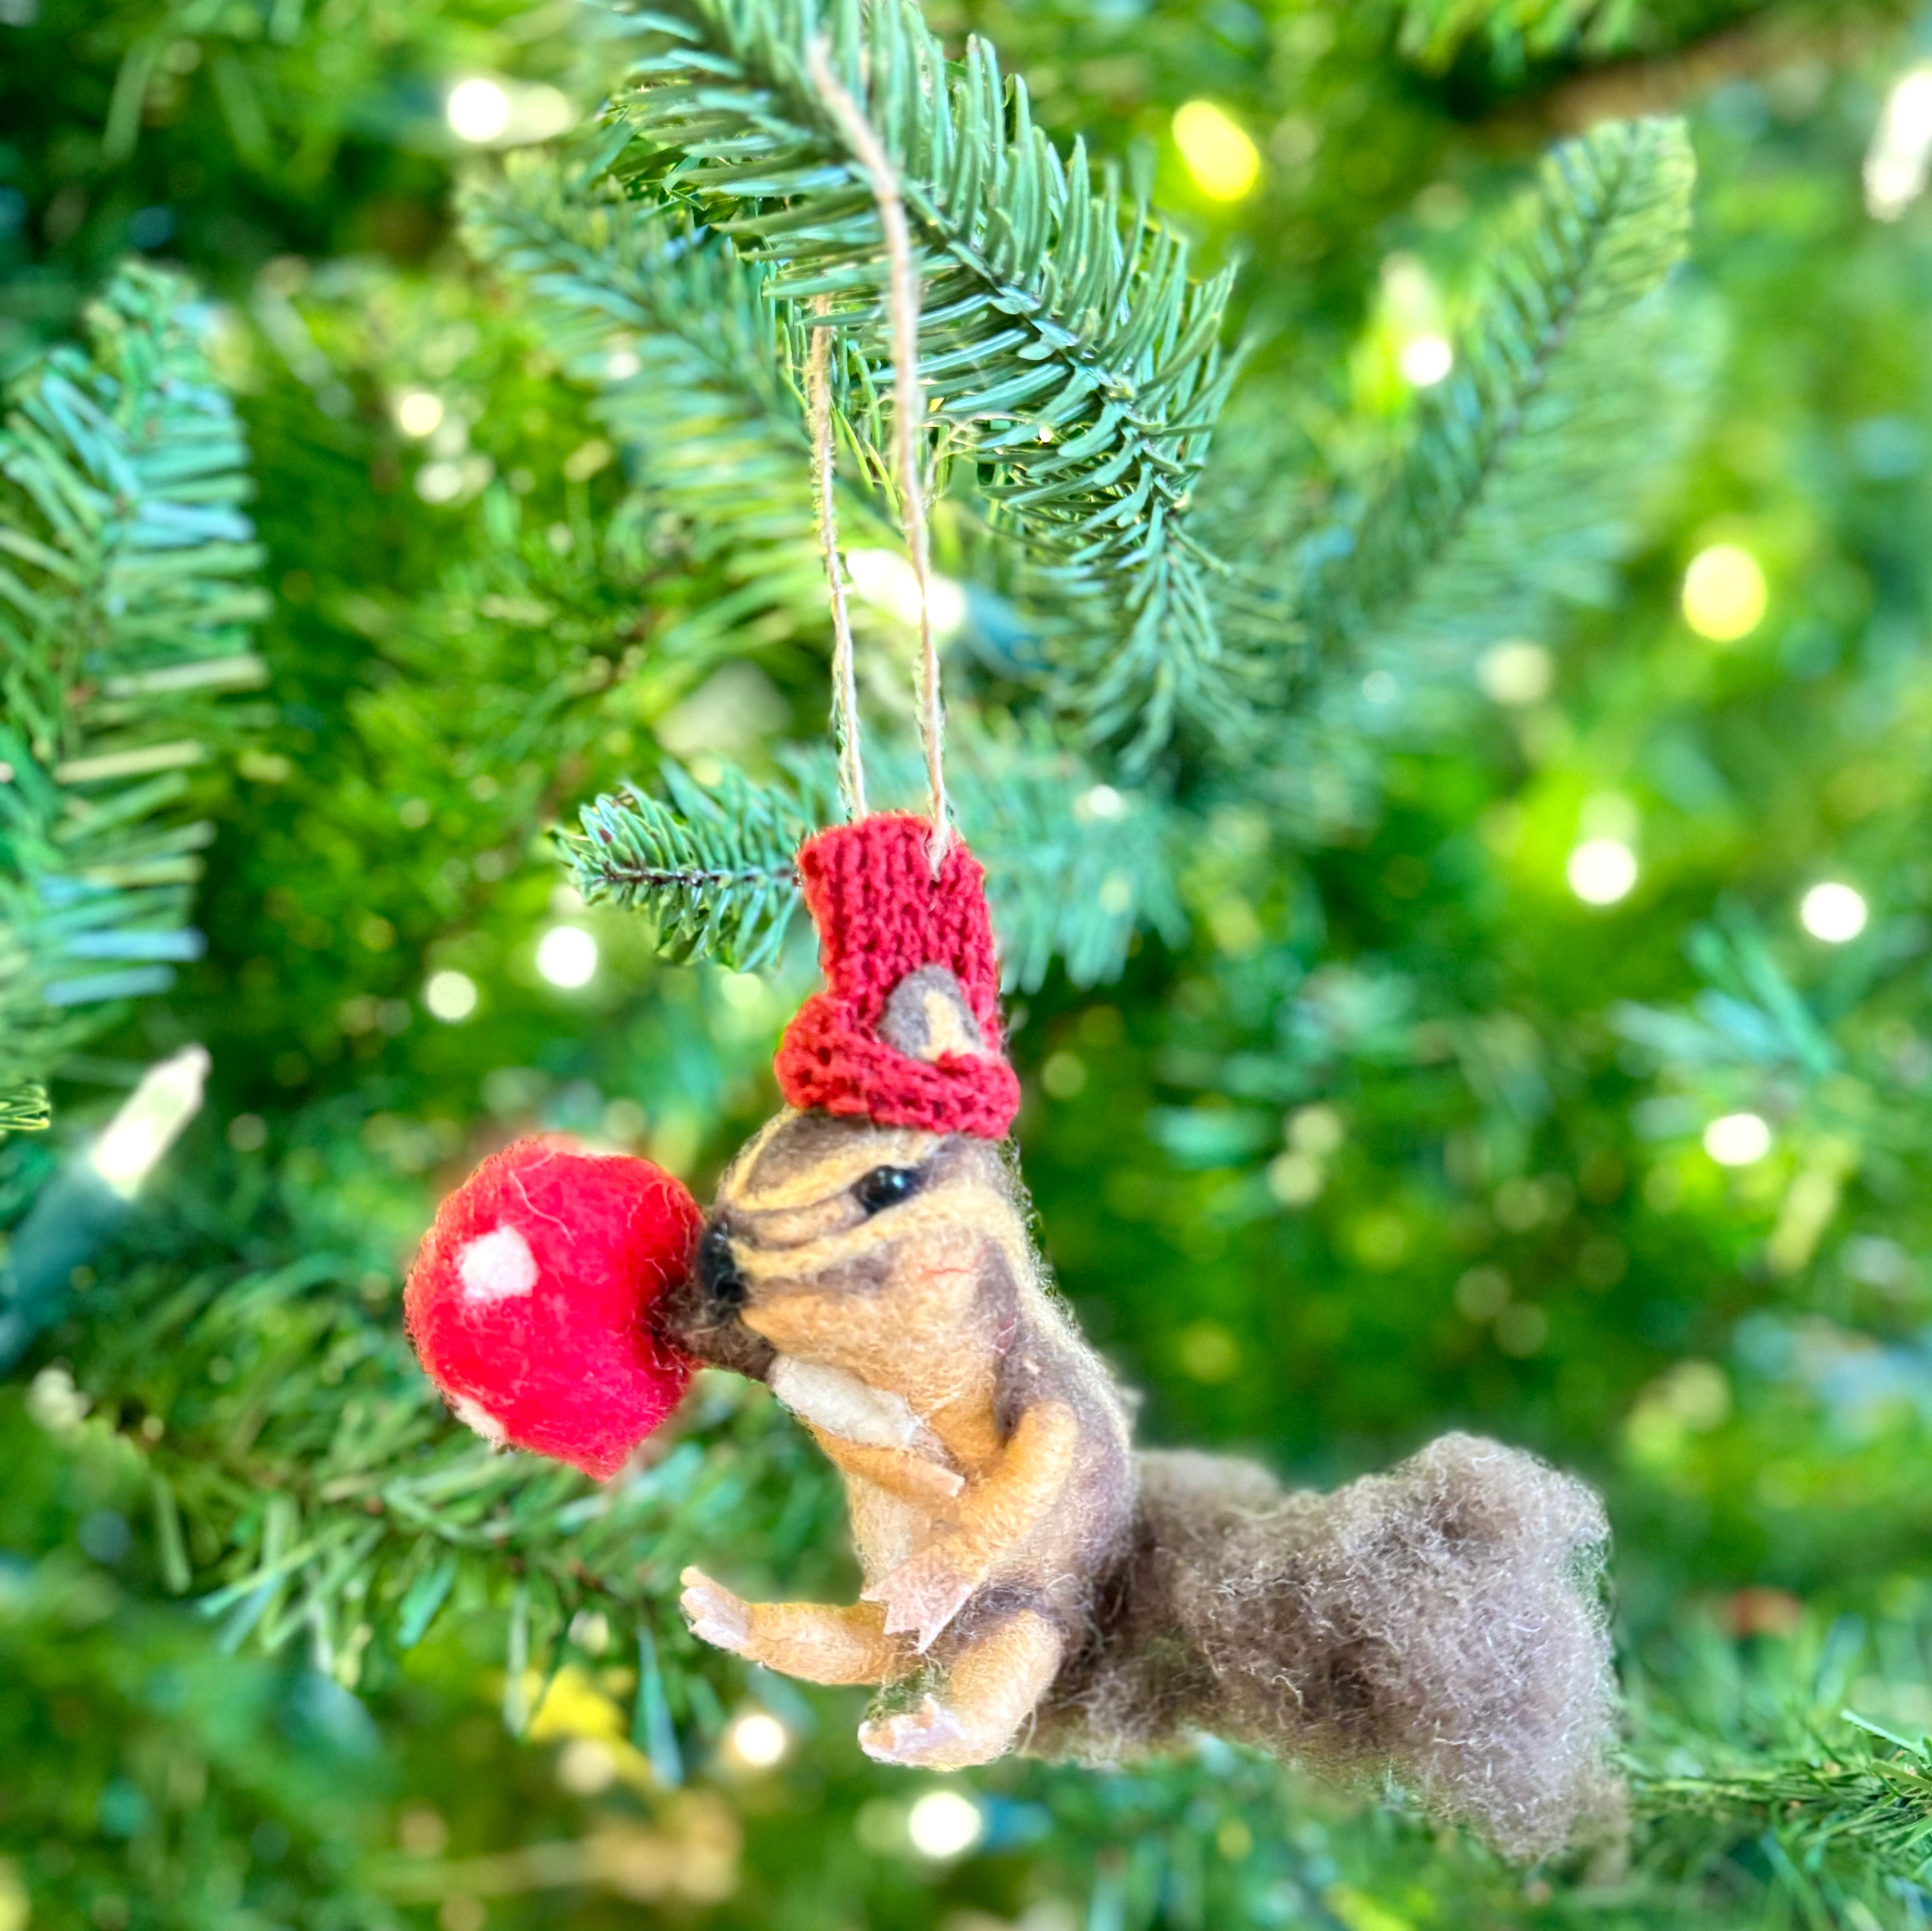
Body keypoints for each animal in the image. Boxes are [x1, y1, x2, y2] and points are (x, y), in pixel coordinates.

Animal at [407, 812, 1630, 1855]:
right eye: (751, 1156)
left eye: (887, 1182)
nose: (715, 1267)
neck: (885, 1372)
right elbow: (822, 1411)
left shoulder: (1034, 1392)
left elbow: (1025, 1466)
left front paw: (947, 1520)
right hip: (887, 1636)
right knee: (842, 1646)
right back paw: (736, 1613)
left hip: (1022, 1625)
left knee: (976, 1692)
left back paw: (922, 1707)